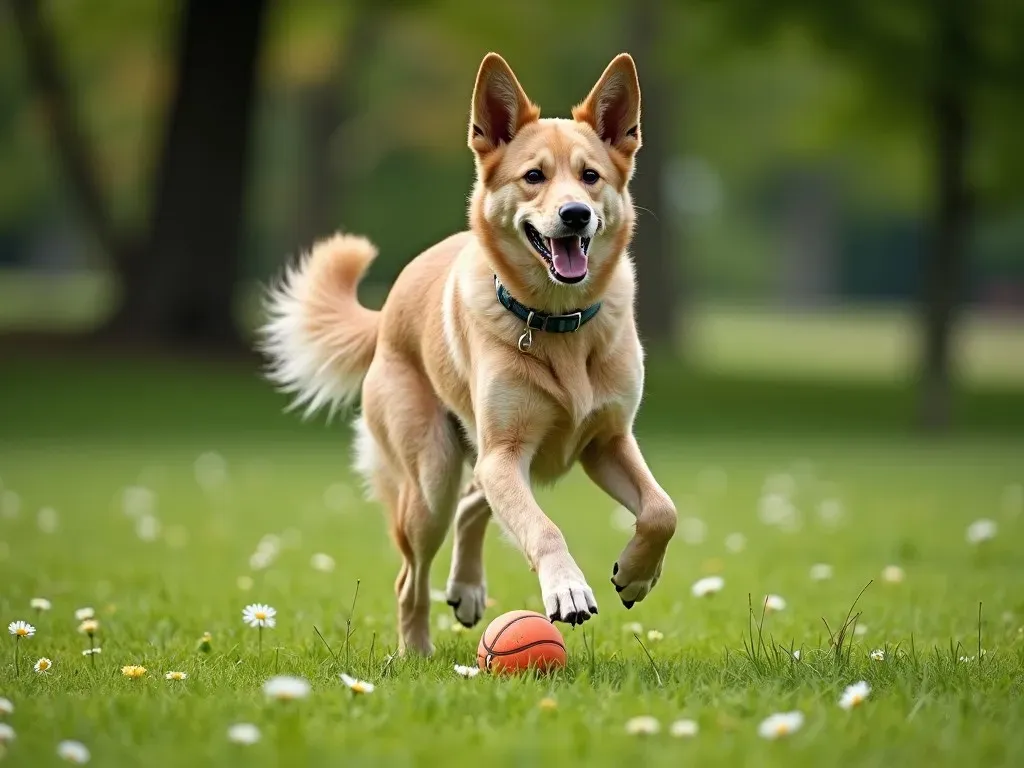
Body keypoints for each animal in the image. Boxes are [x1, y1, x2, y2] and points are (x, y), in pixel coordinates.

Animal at [262, 52, 679, 655]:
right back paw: (416, 652)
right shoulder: (504, 453)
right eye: (534, 176)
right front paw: (567, 588)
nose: (575, 214)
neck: (559, 322)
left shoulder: (607, 442)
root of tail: (387, 311)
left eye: (590, 176)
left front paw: (637, 574)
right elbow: (543, 528)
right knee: (411, 574)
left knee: (471, 504)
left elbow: (663, 510)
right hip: (432, 479)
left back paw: (465, 589)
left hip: (496, 464)